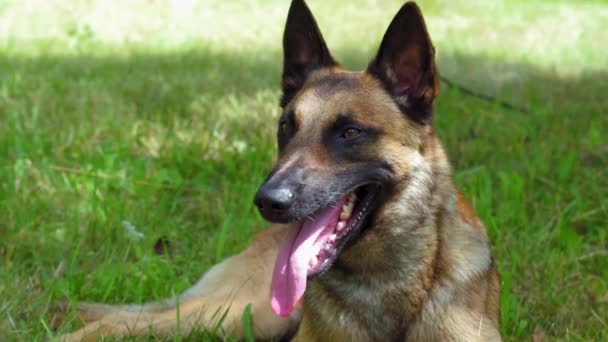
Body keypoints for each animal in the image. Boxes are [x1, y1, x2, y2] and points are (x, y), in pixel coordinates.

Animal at [57, 1, 502, 340]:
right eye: (286, 126)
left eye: (350, 132)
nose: (267, 201)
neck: (387, 284)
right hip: (240, 313)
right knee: (120, 323)